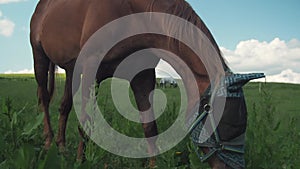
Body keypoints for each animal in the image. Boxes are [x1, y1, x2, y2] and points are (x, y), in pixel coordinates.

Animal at [28, 0, 248, 168]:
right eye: (225, 124)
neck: (131, 13)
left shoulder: (143, 76)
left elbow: (150, 127)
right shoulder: (92, 67)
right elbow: (86, 122)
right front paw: (80, 161)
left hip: (72, 70)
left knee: (64, 106)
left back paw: (61, 146)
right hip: (40, 59)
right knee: (44, 100)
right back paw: (48, 143)